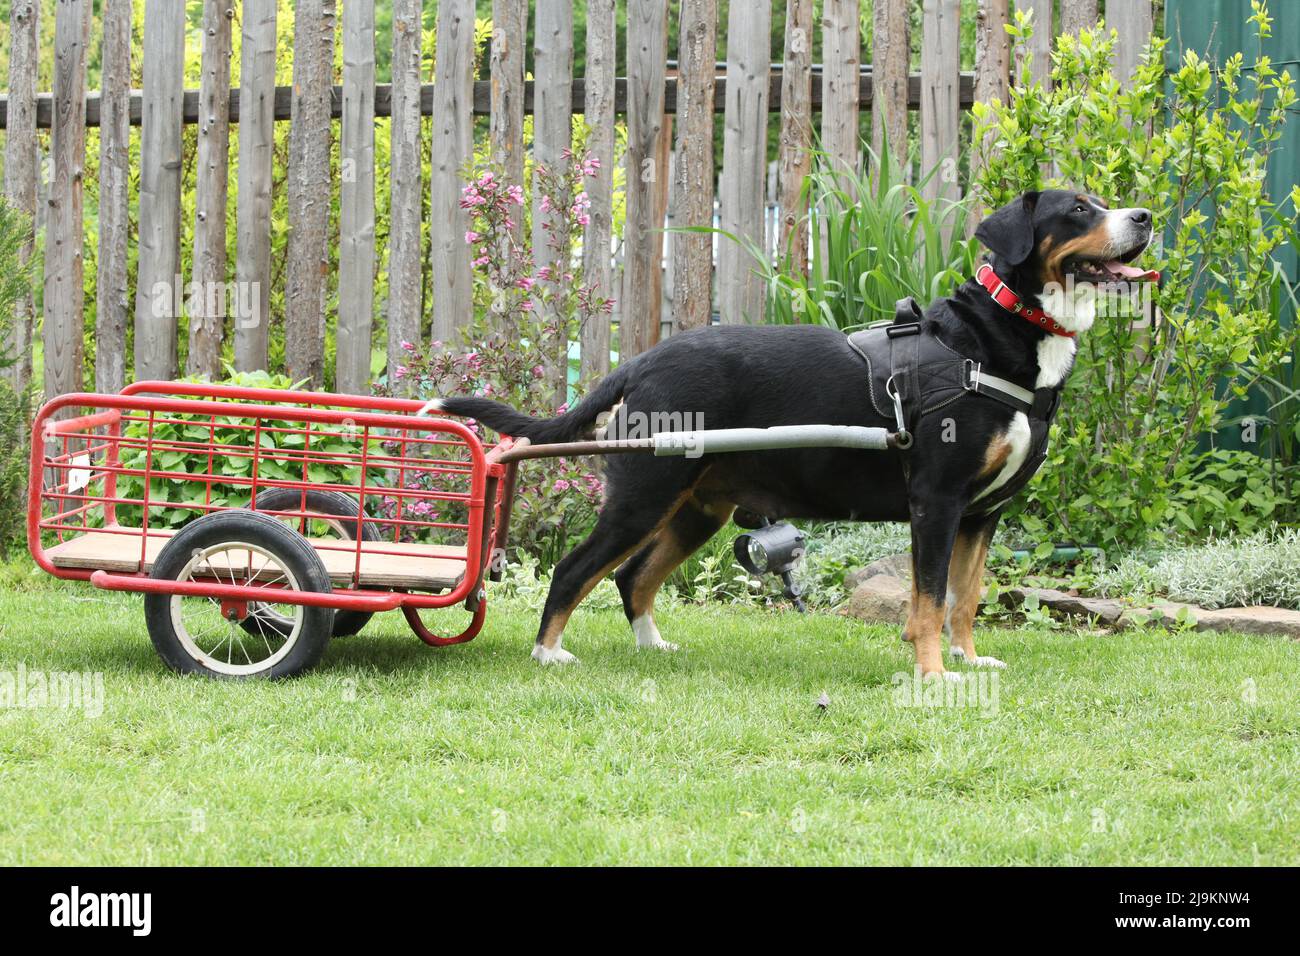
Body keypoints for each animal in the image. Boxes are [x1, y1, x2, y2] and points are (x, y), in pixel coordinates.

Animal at [431, 191, 1154, 676]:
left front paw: (968, 661)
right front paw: (933, 675)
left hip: (698, 508)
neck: (995, 339)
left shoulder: (981, 514)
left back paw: (652, 646)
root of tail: (645, 358)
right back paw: (547, 653)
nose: (1144, 217)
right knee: (576, 568)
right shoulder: (938, 501)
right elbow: (927, 600)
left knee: (633, 577)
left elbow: (964, 598)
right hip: (644, 492)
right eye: (1079, 210)